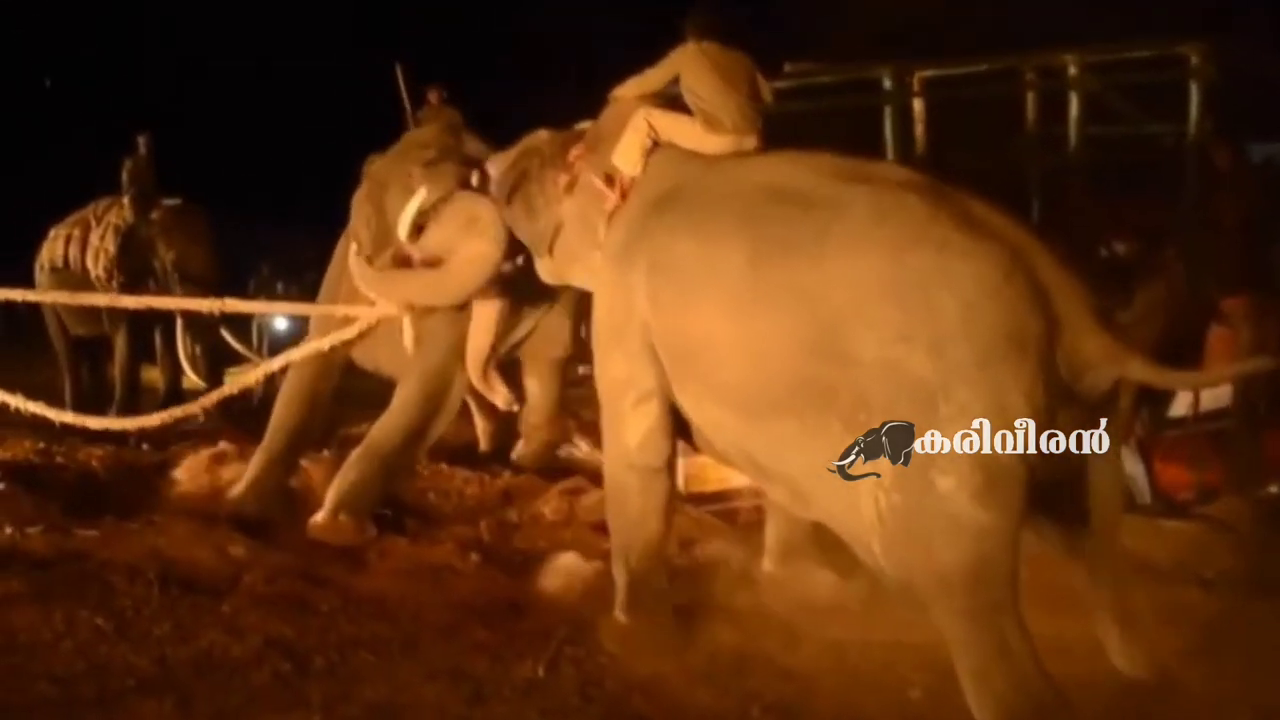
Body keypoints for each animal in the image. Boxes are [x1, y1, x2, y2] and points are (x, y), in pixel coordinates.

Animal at [33, 195, 258, 415]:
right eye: (174, 269)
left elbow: (164, 330)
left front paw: (168, 406)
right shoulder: (113, 281)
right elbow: (126, 336)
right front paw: (120, 417)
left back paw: (94, 412)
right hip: (46, 293)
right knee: (66, 347)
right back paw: (77, 413)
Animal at [222, 120, 584, 547]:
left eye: (480, 179)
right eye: (415, 176)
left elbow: (431, 383)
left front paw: (334, 528)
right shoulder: (341, 271)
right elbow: (313, 362)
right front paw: (241, 507)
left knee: (545, 355)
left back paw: (525, 455)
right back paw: (494, 450)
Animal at [346, 95, 1277, 720]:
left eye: (534, 176)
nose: (482, 169)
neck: (641, 160)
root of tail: (1070, 304)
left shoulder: (628, 305)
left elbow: (639, 444)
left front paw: (632, 640)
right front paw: (800, 587)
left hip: (963, 440)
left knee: (974, 603)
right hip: (1085, 423)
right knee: (1094, 543)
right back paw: (1146, 676)